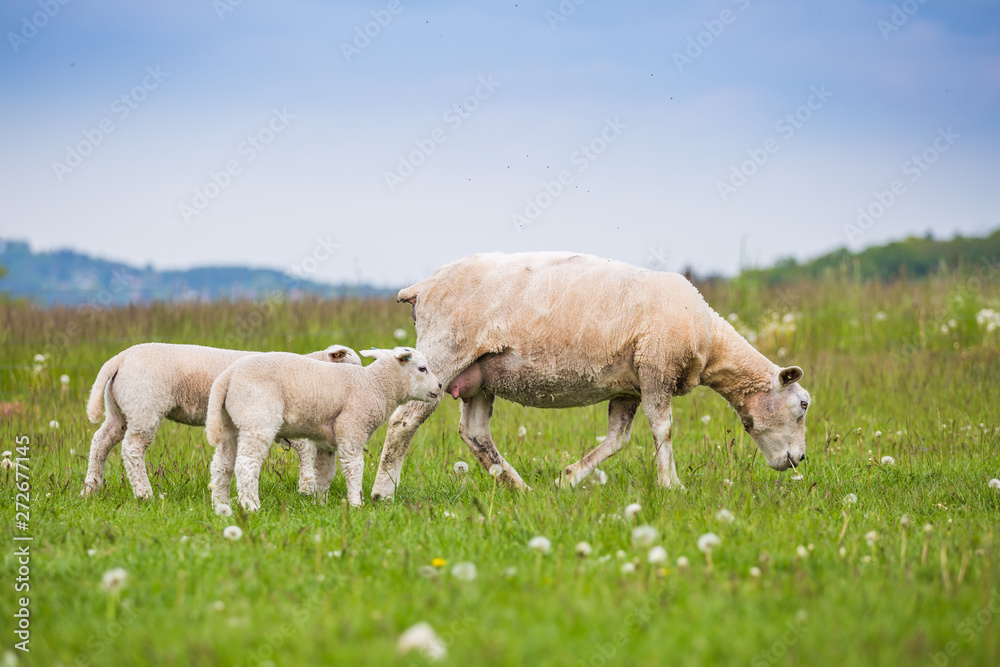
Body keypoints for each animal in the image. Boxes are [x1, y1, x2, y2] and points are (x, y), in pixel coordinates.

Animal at [82, 342, 361, 499]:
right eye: (351, 365)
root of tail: (120, 358)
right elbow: (304, 449)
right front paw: (307, 487)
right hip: (144, 406)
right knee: (132, 449)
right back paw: (143, 493)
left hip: (120, 411)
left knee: (100, 442)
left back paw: (91, 488)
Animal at [206, 347, 442, 512]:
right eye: (422, 368)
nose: (440, 387)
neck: (376, 385)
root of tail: (227, 376)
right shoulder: (352, 428)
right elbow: (354, 467)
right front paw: (356, 504)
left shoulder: (326, 442)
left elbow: (325, 472)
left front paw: (320, 503)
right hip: (257, 418)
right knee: (246, 465)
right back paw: (251, 506)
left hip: (229, 423)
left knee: (222, 465)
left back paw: (221, 506)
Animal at [368, 251, 810, 501]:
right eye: (803, 405)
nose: (801, 459)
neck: (710, 338)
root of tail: (422, 286)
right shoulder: (656, 368)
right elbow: (663, 429)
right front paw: (672, 486)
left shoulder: (629, 387)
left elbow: (617, 439)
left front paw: (568, 479)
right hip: (443, 352)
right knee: (404, 421)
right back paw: (382, 491)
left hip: (479, 373)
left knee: (474, 433)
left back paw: (518, 488)